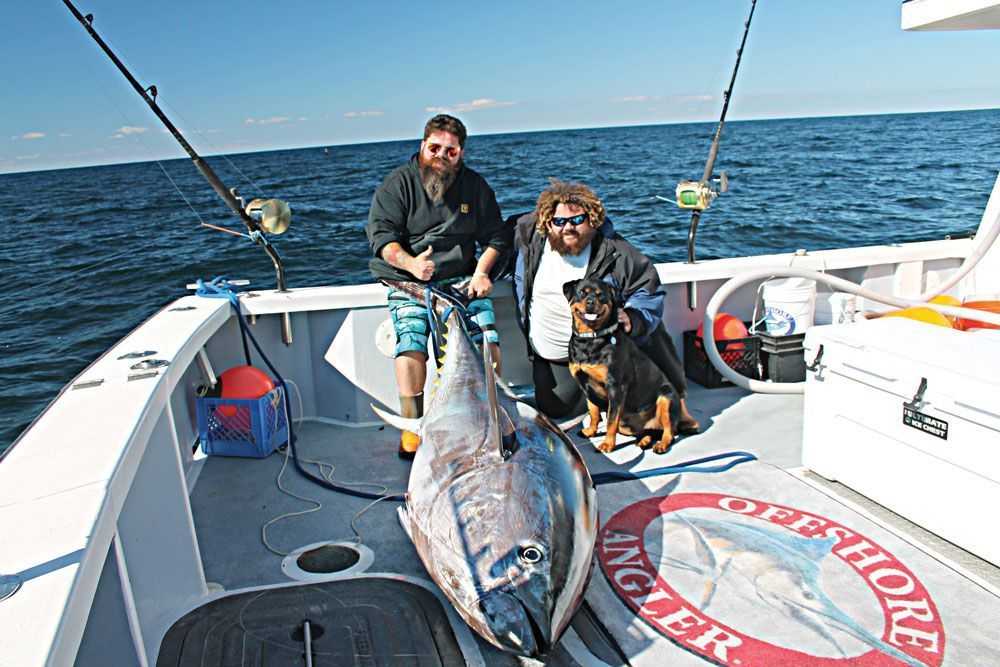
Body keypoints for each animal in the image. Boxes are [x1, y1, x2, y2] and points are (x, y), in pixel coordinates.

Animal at [564, 276, 680, 454]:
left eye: (601, 295)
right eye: (581, 293)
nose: (590, 302)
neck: (589, 338)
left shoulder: (615, 387)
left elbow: (611, 420)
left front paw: (607, 444)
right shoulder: (586, 385)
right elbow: (593, 411)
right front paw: (591, 431)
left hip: (666, 398)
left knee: (669, 430)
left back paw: (661, 444)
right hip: (628, 425)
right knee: (648, 431)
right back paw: (644, 440)